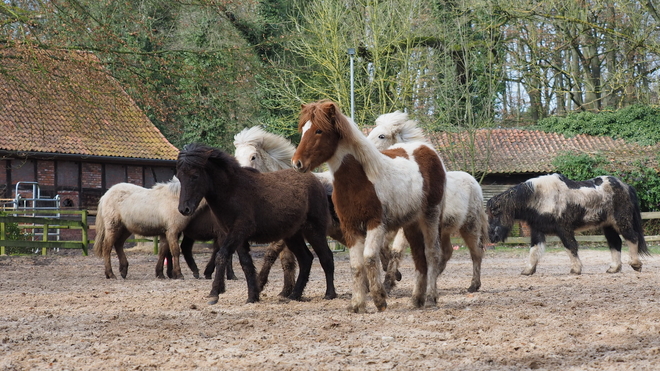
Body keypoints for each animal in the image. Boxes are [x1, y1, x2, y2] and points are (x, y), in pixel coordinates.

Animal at [178, 143, 338, 306]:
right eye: (179, 176)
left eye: (195, 176)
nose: (184, 209)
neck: (233, 191)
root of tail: (318, 182)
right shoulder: (237, 237)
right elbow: (246, 264)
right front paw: (252, 296)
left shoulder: (237, 232)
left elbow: (221, 256)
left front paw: (214, 294)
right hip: (293, 236)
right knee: (306, 260)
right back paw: (294, 295)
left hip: (314, 231)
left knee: (326, 257)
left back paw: (329, 294)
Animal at [292, 99, 446, 314]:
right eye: (303, 129)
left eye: (319, 131)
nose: (297, 163)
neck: (360, 180)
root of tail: (426, 149)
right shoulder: (350, 227)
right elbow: (356, 266)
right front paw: (357, 304)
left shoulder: (375, 223)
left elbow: (369, 258)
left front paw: (380, 300)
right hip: (411, 224)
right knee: (418, 257)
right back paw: (417, 299)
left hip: (431, 216)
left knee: (432, 254)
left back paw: (431, 297)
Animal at [366, 111, 490, 294]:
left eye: (382, 136)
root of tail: (475, 183)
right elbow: (383, 248)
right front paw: (395, 274)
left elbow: (396, 251)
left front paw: (389, 282)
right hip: (444, 230)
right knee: (446, 252)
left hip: (470, 227)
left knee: (476, 252)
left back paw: (474, 285)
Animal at [484, 174, 648, 276]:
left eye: (495, 214)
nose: (492, 236)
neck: (541, 197)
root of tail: (626, 186)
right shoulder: (537, 230)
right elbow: (534, 251)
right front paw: (528, 270)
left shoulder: (564, 229)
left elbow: (570, 246)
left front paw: (576, 269)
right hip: (608, 226)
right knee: (615, 243)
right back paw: (614, 268)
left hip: (621, 221)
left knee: (632, 238)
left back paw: (636, 264)